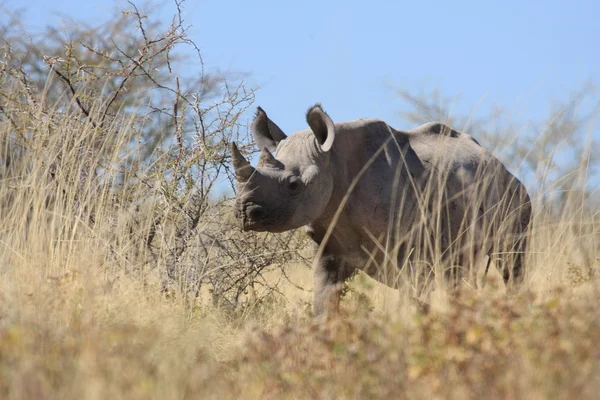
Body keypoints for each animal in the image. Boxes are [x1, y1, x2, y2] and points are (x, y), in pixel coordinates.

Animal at [232, 104, 532, 318]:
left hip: (514, 195)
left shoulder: (412, 245)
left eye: (293, 185)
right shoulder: (327, 242)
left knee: (510, 262)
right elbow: (324, 298)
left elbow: (413, 297)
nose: (245, 212)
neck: (334, 162)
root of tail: (500, 164)